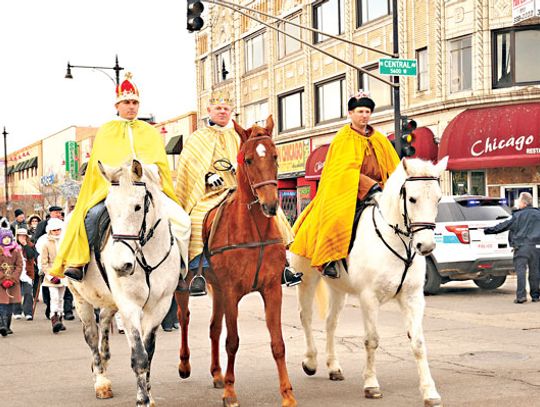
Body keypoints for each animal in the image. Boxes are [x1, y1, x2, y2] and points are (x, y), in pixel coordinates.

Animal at [66, 160, 180, 407]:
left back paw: (105, 359)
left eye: (137, 207)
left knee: (104, 321)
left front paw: (149, 395)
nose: (121, 266)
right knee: (91, 335)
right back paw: (101, 380)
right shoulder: (129, 306)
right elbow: (139, 356)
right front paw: (142, 399)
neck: (146, 258)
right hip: (80, 298)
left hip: (110, 301)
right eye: (108, 207)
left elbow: (149, 351)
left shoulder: (160, 306)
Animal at [175, 115, 296, 407]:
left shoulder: (271, 289)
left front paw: (287, 394)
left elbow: (278, 343)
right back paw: (185, 365)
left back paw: (217, 374)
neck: (253, 228)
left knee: (213, 328)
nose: (271, 206)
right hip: (186, 285)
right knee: (184, 317)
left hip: (217, 289)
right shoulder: (232, 292)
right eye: (249, 160)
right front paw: (231, 392)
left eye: (275, 156)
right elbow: (233, 341)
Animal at [294, 158, 450, 406]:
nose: (426, 246)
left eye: (438, 198)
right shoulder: (369, 298)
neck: (398, 243)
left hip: (338, 289)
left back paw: (333, 367)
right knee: (306, 317)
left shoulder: (413, 297)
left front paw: (429, 392)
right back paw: (310, 361)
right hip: (307, 279)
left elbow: (418, 342)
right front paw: (371, 384)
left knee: (330, 323)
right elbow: (372, 340)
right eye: (412, 199)